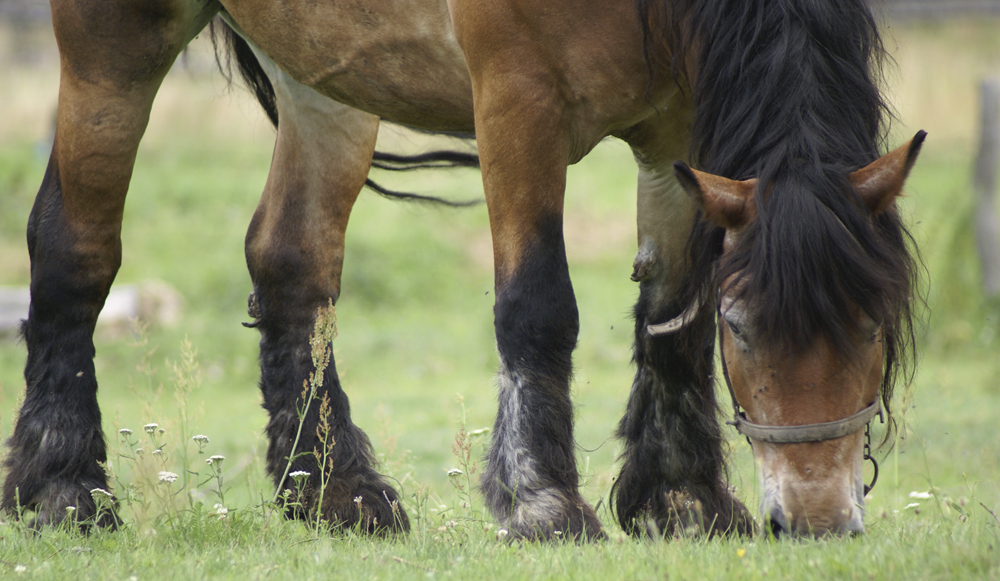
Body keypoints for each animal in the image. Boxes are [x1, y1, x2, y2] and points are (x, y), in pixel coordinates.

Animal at [3, 0, 920, 536]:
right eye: (744, 327)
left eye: (877, 324)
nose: (817, 519)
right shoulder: (517, 99)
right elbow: (538, 304)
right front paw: (542, 502)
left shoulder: (677, 124)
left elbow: (671, 313)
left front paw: (681, 498)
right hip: (113, 44)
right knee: (74, 248)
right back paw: (61, 487)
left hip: (322, 71)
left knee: (292, 263)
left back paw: (335, 492)